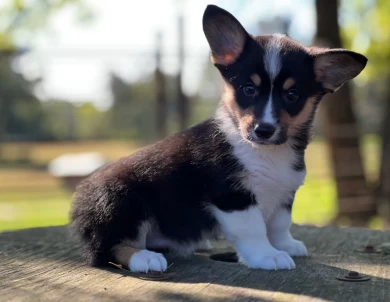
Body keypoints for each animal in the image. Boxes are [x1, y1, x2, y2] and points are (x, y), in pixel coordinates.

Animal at [70, 4, 366, 272]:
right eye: (249, 89)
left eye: (292, 95)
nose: (264, 130)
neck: (265, 152)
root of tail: (80, 202)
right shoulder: (233, 196)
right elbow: (253, 229)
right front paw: (268, 256)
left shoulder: (284, 193)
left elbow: (280, 224)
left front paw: (286, 245)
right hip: (123, 201)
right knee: (110, 247)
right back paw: (144, 258)